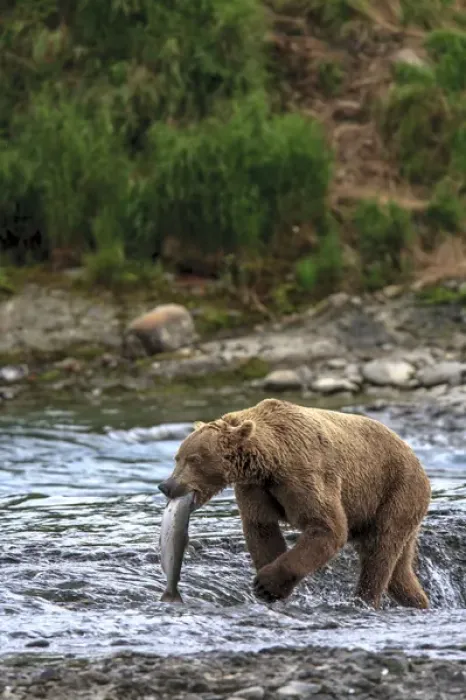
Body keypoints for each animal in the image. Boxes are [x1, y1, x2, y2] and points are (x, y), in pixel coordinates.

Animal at [158, 398, 431, 609]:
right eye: (177, 457)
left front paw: (266, 584)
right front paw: (270, 587)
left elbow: (327, 527)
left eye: (194, 459)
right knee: (398, 569)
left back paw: (365, 600)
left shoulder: (304, 475)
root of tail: (416, 459)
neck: (269, 461)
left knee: (380, 553)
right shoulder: (256, 489)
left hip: (394, 492)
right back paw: (418, 601)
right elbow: (262, 530)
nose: (166, 485)